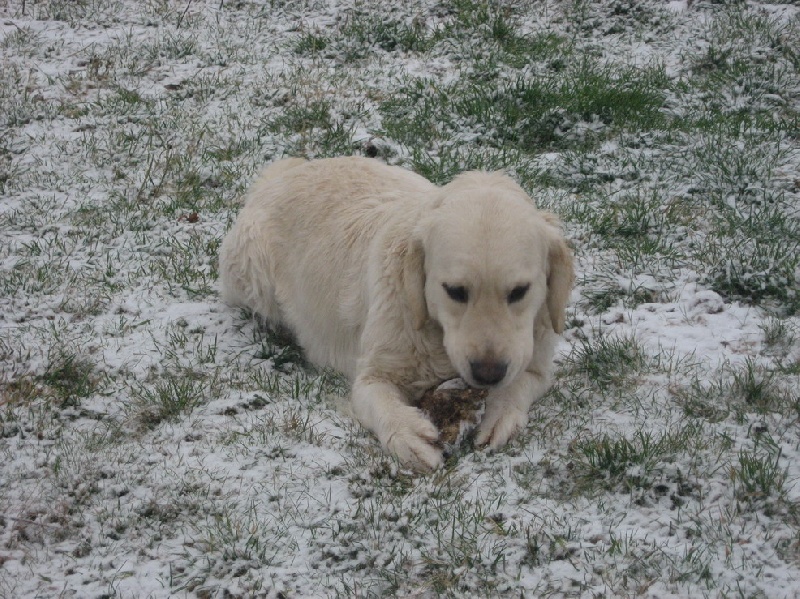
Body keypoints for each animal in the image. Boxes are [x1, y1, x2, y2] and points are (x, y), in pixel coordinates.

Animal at [216, 156, 572, 474]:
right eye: (455, 291)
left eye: (519, 291)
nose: (488, 373)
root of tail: (279, 174)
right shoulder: (371, 375)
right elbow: (379, 400)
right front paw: (408, 434)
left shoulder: (537, 355)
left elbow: (521, 382)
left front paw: (501, 414)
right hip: (253, 275)